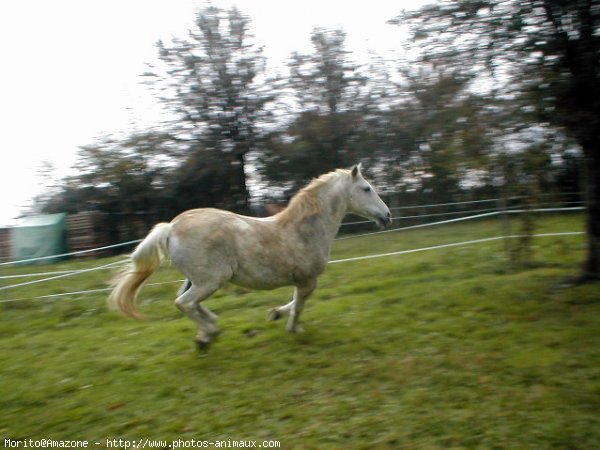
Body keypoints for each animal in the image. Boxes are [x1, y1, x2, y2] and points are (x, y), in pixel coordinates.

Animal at [108, 163, 392, 350]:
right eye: (367, 188)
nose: (387, 216)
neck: (304, 231)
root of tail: (172, 227)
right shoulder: (308, 279)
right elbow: (299, 304)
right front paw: (293, 328)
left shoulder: (302, 281)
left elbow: (294, 301)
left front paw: (275, 314)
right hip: (211, 281)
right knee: (184, 303)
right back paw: (208, 334)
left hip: (195, 280)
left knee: (187, 302)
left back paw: (208, 331)